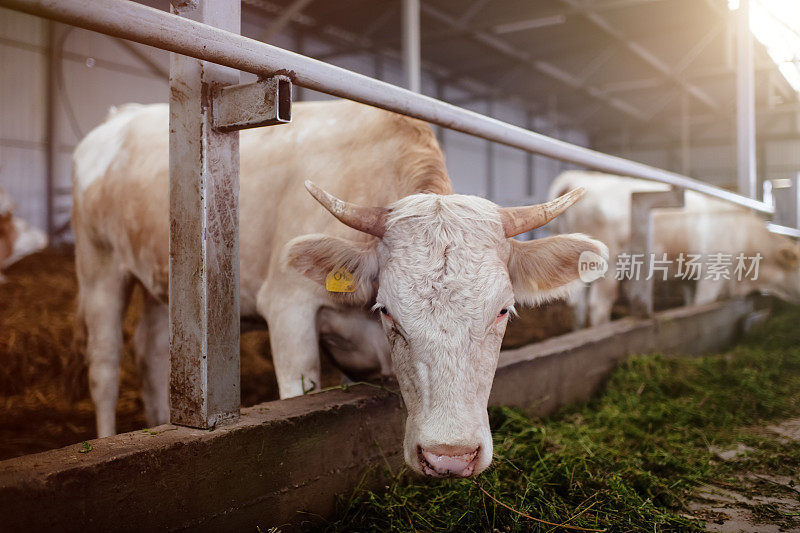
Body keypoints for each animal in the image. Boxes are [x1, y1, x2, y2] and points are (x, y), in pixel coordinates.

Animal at [73, 101, 608, 478]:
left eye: (503, 311)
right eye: (388, 311)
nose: (450, 457)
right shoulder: (288, 307)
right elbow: (299, 388)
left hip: (158, 281)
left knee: (151, 352)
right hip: (98, 262)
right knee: (104, 365)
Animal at [548, 170, 800, 328]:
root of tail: (579, 177)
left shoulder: (688, 277)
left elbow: (688, 305)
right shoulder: (712, 275)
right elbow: (701, 305)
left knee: (578, 306)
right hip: (608, 265)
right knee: (598, 305)